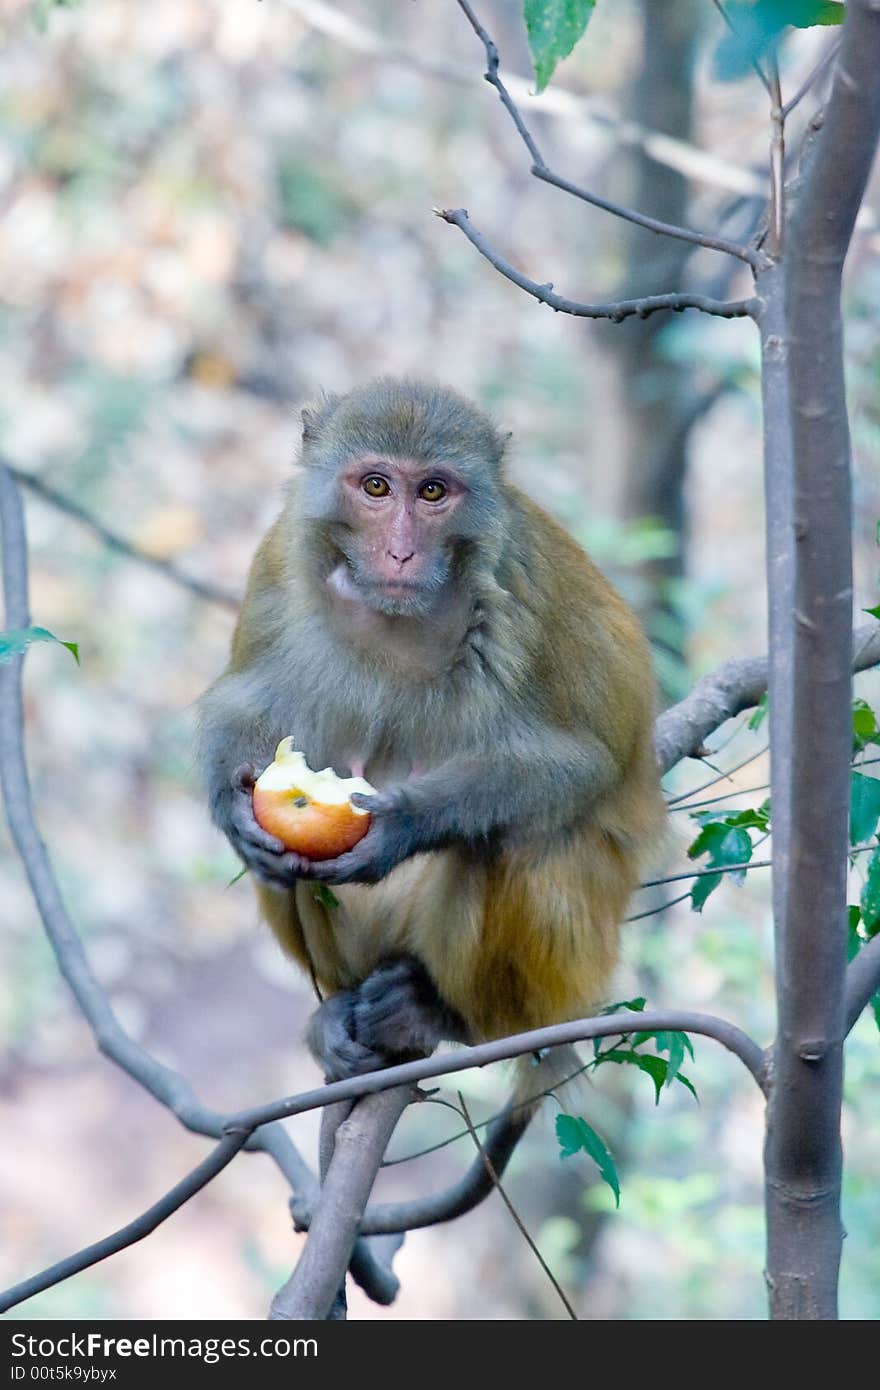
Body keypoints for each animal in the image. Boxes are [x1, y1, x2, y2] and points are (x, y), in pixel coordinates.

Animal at [197, 378, 664, 1084]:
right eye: (377, 487)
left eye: (434, 492)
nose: (401, 552)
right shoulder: (280, 558)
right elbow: (242, 699)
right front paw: (233, 809)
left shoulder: (516, 587)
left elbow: (575, 763)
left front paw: (402, 825)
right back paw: (338, 1010)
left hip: (570, 975)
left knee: (517, 840)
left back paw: (444, 1014)